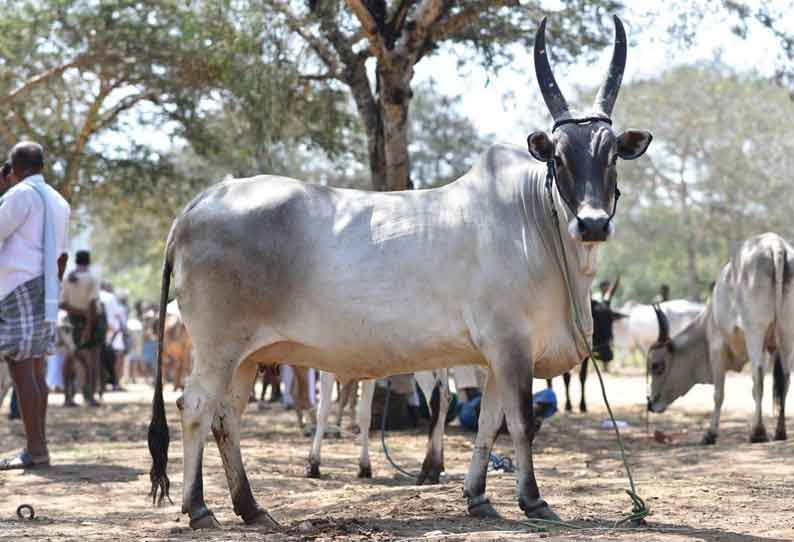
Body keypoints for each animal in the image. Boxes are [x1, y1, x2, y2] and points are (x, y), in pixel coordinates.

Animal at [144, 15, 648, 532]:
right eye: (560, 157)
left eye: (611, 156)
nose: (592, 223)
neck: (537, 220)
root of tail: (197, 205)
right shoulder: (511, 346)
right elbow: (522, 423)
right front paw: (533, 500)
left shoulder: (495, 358)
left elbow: (489, 424)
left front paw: (478, 497)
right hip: (217, 347)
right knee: (196, 407)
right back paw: (200, 507)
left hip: (246, 355)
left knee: (227, 416)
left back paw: (250, 507)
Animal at [648, 234, 788, 446]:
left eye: (657, 366)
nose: (650, 403)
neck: (708, 319)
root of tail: (775, 245)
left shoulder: (716, 347)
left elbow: (719, 394)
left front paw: (710, 433)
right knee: (785, 378)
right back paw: (780, 432)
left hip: (755, 330)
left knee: (758, 376)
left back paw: (758, 432)